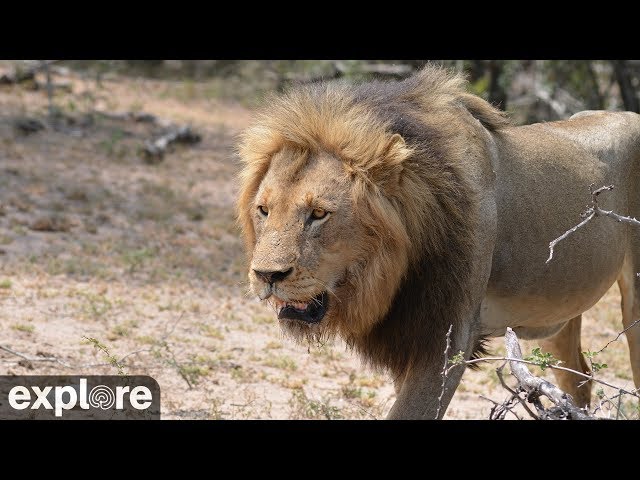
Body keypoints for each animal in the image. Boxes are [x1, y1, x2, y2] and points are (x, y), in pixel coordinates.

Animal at [236, 65, 640, 418]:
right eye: (264, 210)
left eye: (319, 213)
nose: (267, 275)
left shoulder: (447, 340)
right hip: (555, 309)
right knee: (579, 378)